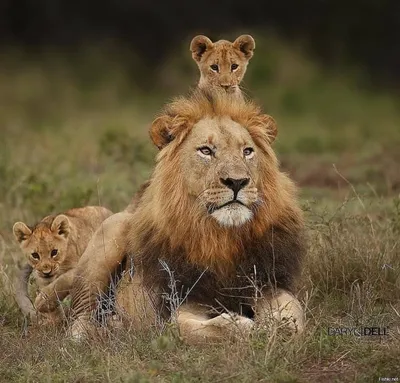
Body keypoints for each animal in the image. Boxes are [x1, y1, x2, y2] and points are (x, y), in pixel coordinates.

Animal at [69, 89, 306, 342]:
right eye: (206, 151)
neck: (222, 238)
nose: (237, 182)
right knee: (78, 320)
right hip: (110, 235)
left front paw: (273, 327)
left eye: (247, 151)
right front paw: (248, 326)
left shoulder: (270, 284)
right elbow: (205, 328)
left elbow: (291, 319)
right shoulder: (181, 303)